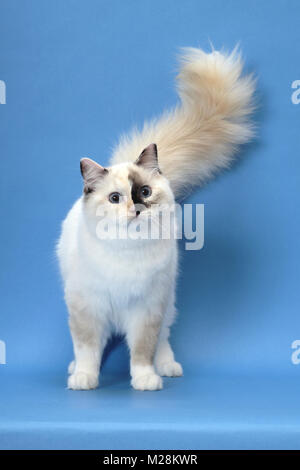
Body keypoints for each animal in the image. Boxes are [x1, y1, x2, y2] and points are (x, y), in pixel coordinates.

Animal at [56, 48, 255, 392]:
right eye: (115, 198)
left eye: (145, 192)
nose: (136, 208)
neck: (126, 251)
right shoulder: (87, 309)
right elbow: (87, 349)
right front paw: (84, 378)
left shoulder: (147, 310)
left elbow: (142, 350)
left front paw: (145, 380)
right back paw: (72, 370)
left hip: (167, 300)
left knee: (163, 341)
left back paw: (168, 368)